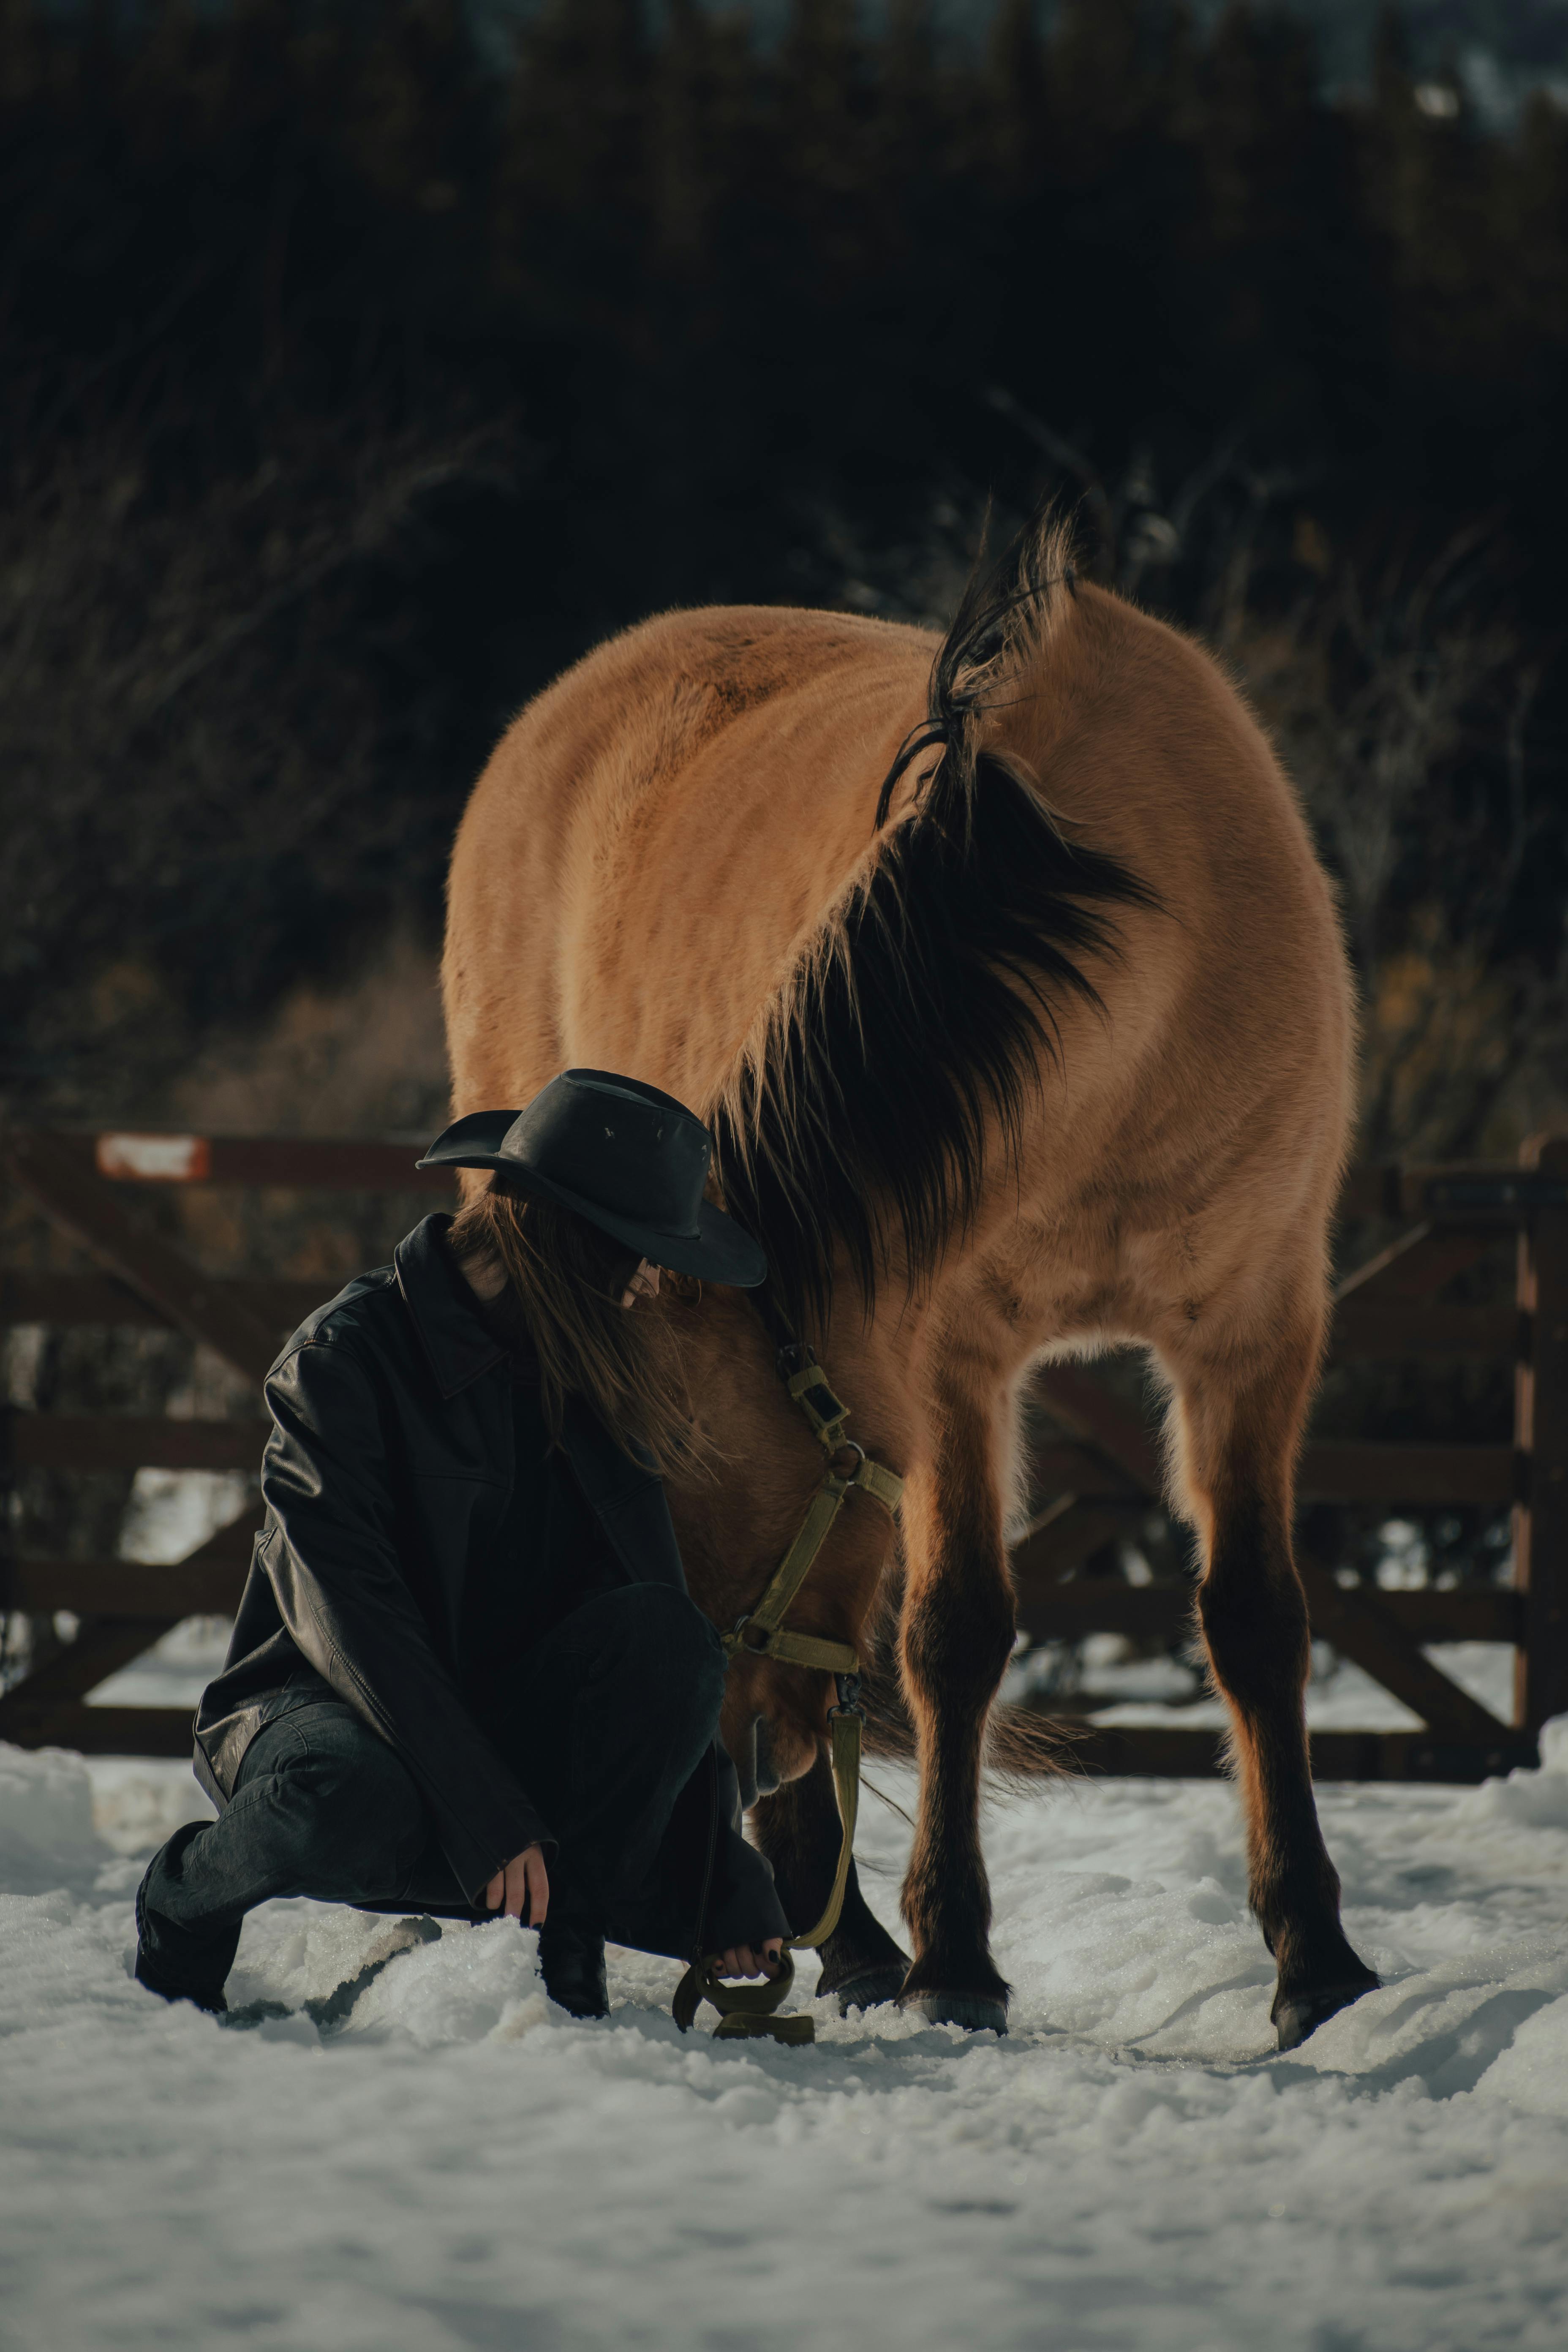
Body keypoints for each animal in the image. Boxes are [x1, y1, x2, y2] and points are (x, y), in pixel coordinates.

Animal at [439, 511, 1379, 2050]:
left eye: (685, 1479)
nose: (695, 1737)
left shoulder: (1254, 1329)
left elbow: (1254, 1618)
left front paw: (1318, 1963)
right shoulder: (949, 1358)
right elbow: (954, 1634)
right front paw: (953, 1957)